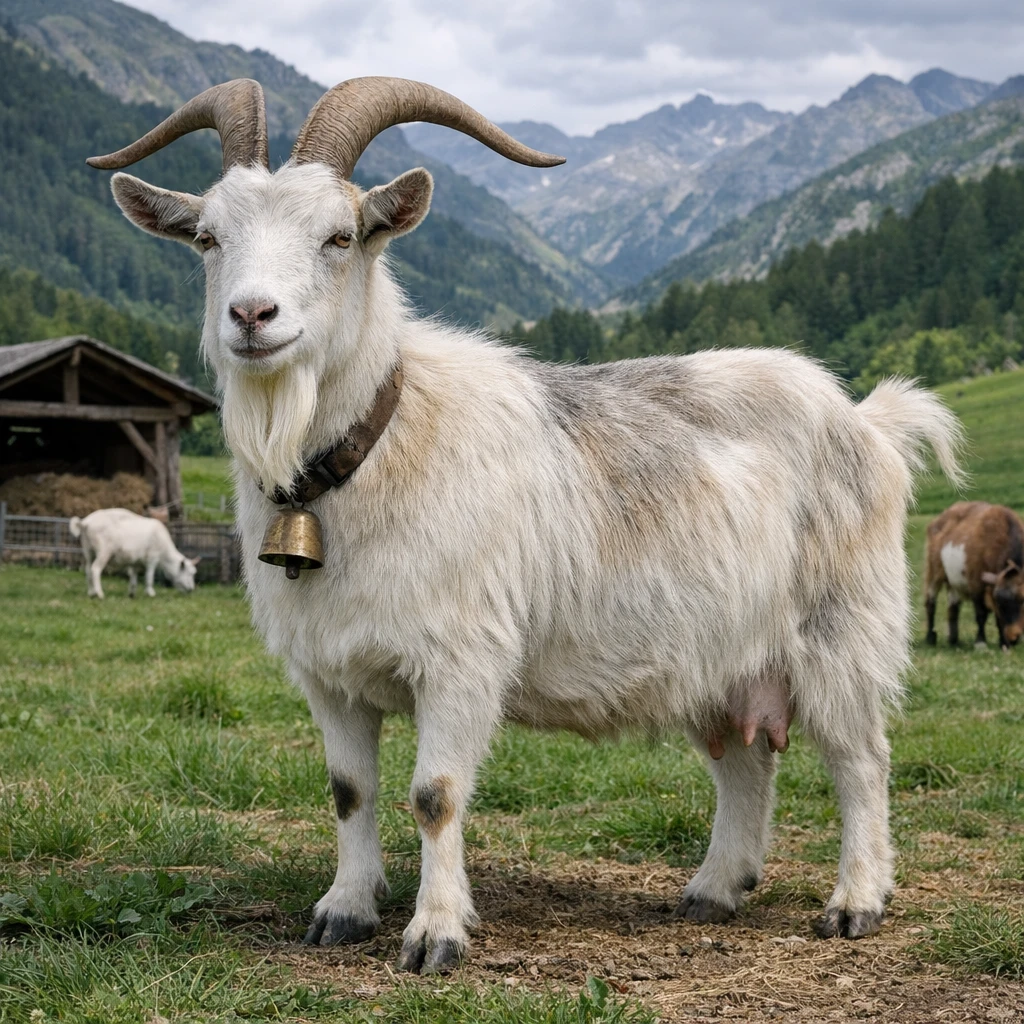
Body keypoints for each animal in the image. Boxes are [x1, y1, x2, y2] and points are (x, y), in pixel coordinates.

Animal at [70, 508, 199, 599]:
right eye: (189, 573)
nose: (191, 589)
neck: (165, 555)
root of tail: (85, 523)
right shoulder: (152, 558)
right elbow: (149, 576)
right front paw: (150, 593)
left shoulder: (134, 561)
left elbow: (133, 576)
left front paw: (132, 593)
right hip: (104, 551)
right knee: (95, 569)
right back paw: (99, 594)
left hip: (87, 550)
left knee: (87, 569)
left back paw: (91, 593)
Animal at [89, 78, 963, 974]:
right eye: (207, 238)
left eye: (340, 236)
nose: (252, 315)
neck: (375, 446)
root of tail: (866, 422)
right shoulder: (330, 674)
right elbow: (349, 792)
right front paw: (344, 909)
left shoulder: (459, 660)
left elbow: (434, 796)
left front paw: (434, 934)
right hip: (722, 659)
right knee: (745, 763)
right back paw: (714, 889)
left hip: (840, 635)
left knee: (861, 762)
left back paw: (856, 902)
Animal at [924, 501, 1024, 649]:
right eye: (1000, 602)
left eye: (1022, 599)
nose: (1013, 637)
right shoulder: (976, 584)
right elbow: (981, 614)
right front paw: (980, 642)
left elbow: (998, 617)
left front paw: (1003, 643)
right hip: (934, 570)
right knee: (931, 602)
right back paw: (930, 637)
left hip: (953, 579)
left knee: (953, 606)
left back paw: (953, 639)